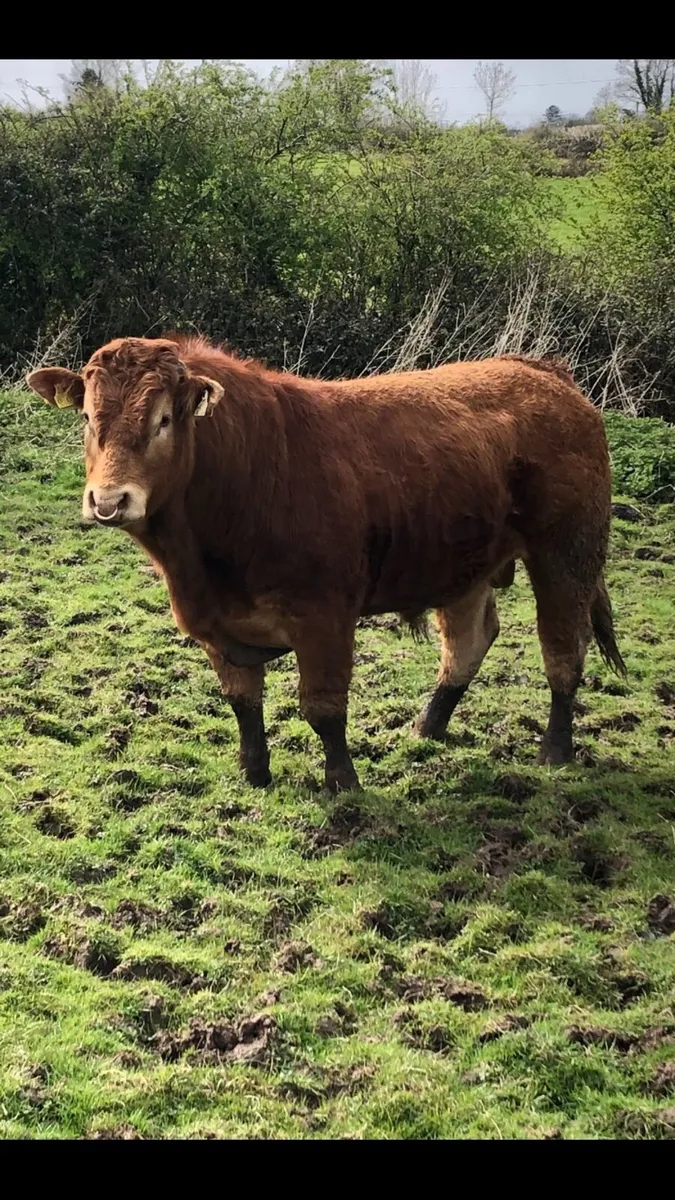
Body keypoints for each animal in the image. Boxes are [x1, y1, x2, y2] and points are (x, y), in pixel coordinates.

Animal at [27, 335, 626, 793]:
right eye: (87, 418)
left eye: (165, 420)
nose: (109, 501)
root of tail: (545, 373)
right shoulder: (214, 626)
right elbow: (243, 702)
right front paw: (254, 774)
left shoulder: (324, 616)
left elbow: (322, 708)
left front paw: (343, 783)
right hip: (465, 565)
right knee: (467, 643)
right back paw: (428, 726)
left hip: (567, 554)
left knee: (563, 651)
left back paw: (555, 749)